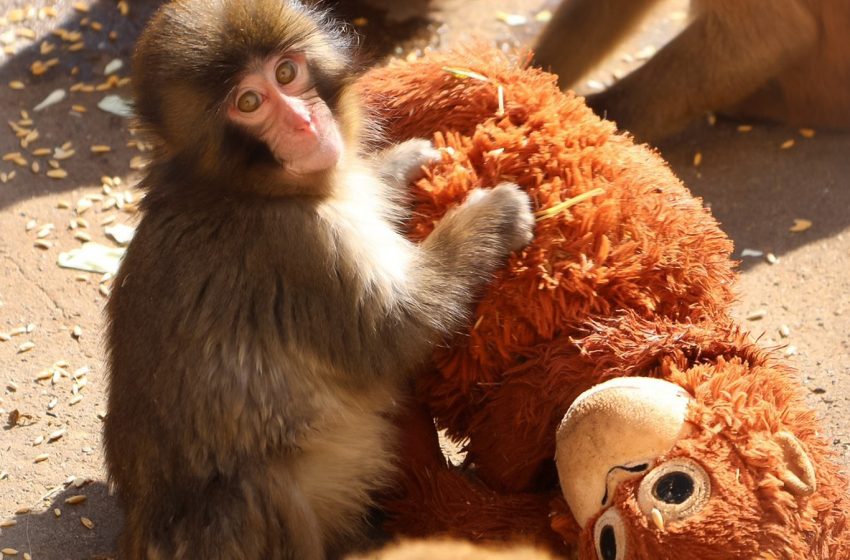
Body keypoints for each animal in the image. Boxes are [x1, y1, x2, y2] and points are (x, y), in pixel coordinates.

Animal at [102, 1, 535, 559]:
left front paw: (399, 164)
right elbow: (395, 331)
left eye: (287, 73)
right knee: (259, 488)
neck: (241, 188)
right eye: (249, 102)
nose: (305, 122)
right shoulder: (298, 247)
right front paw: (492, 216)